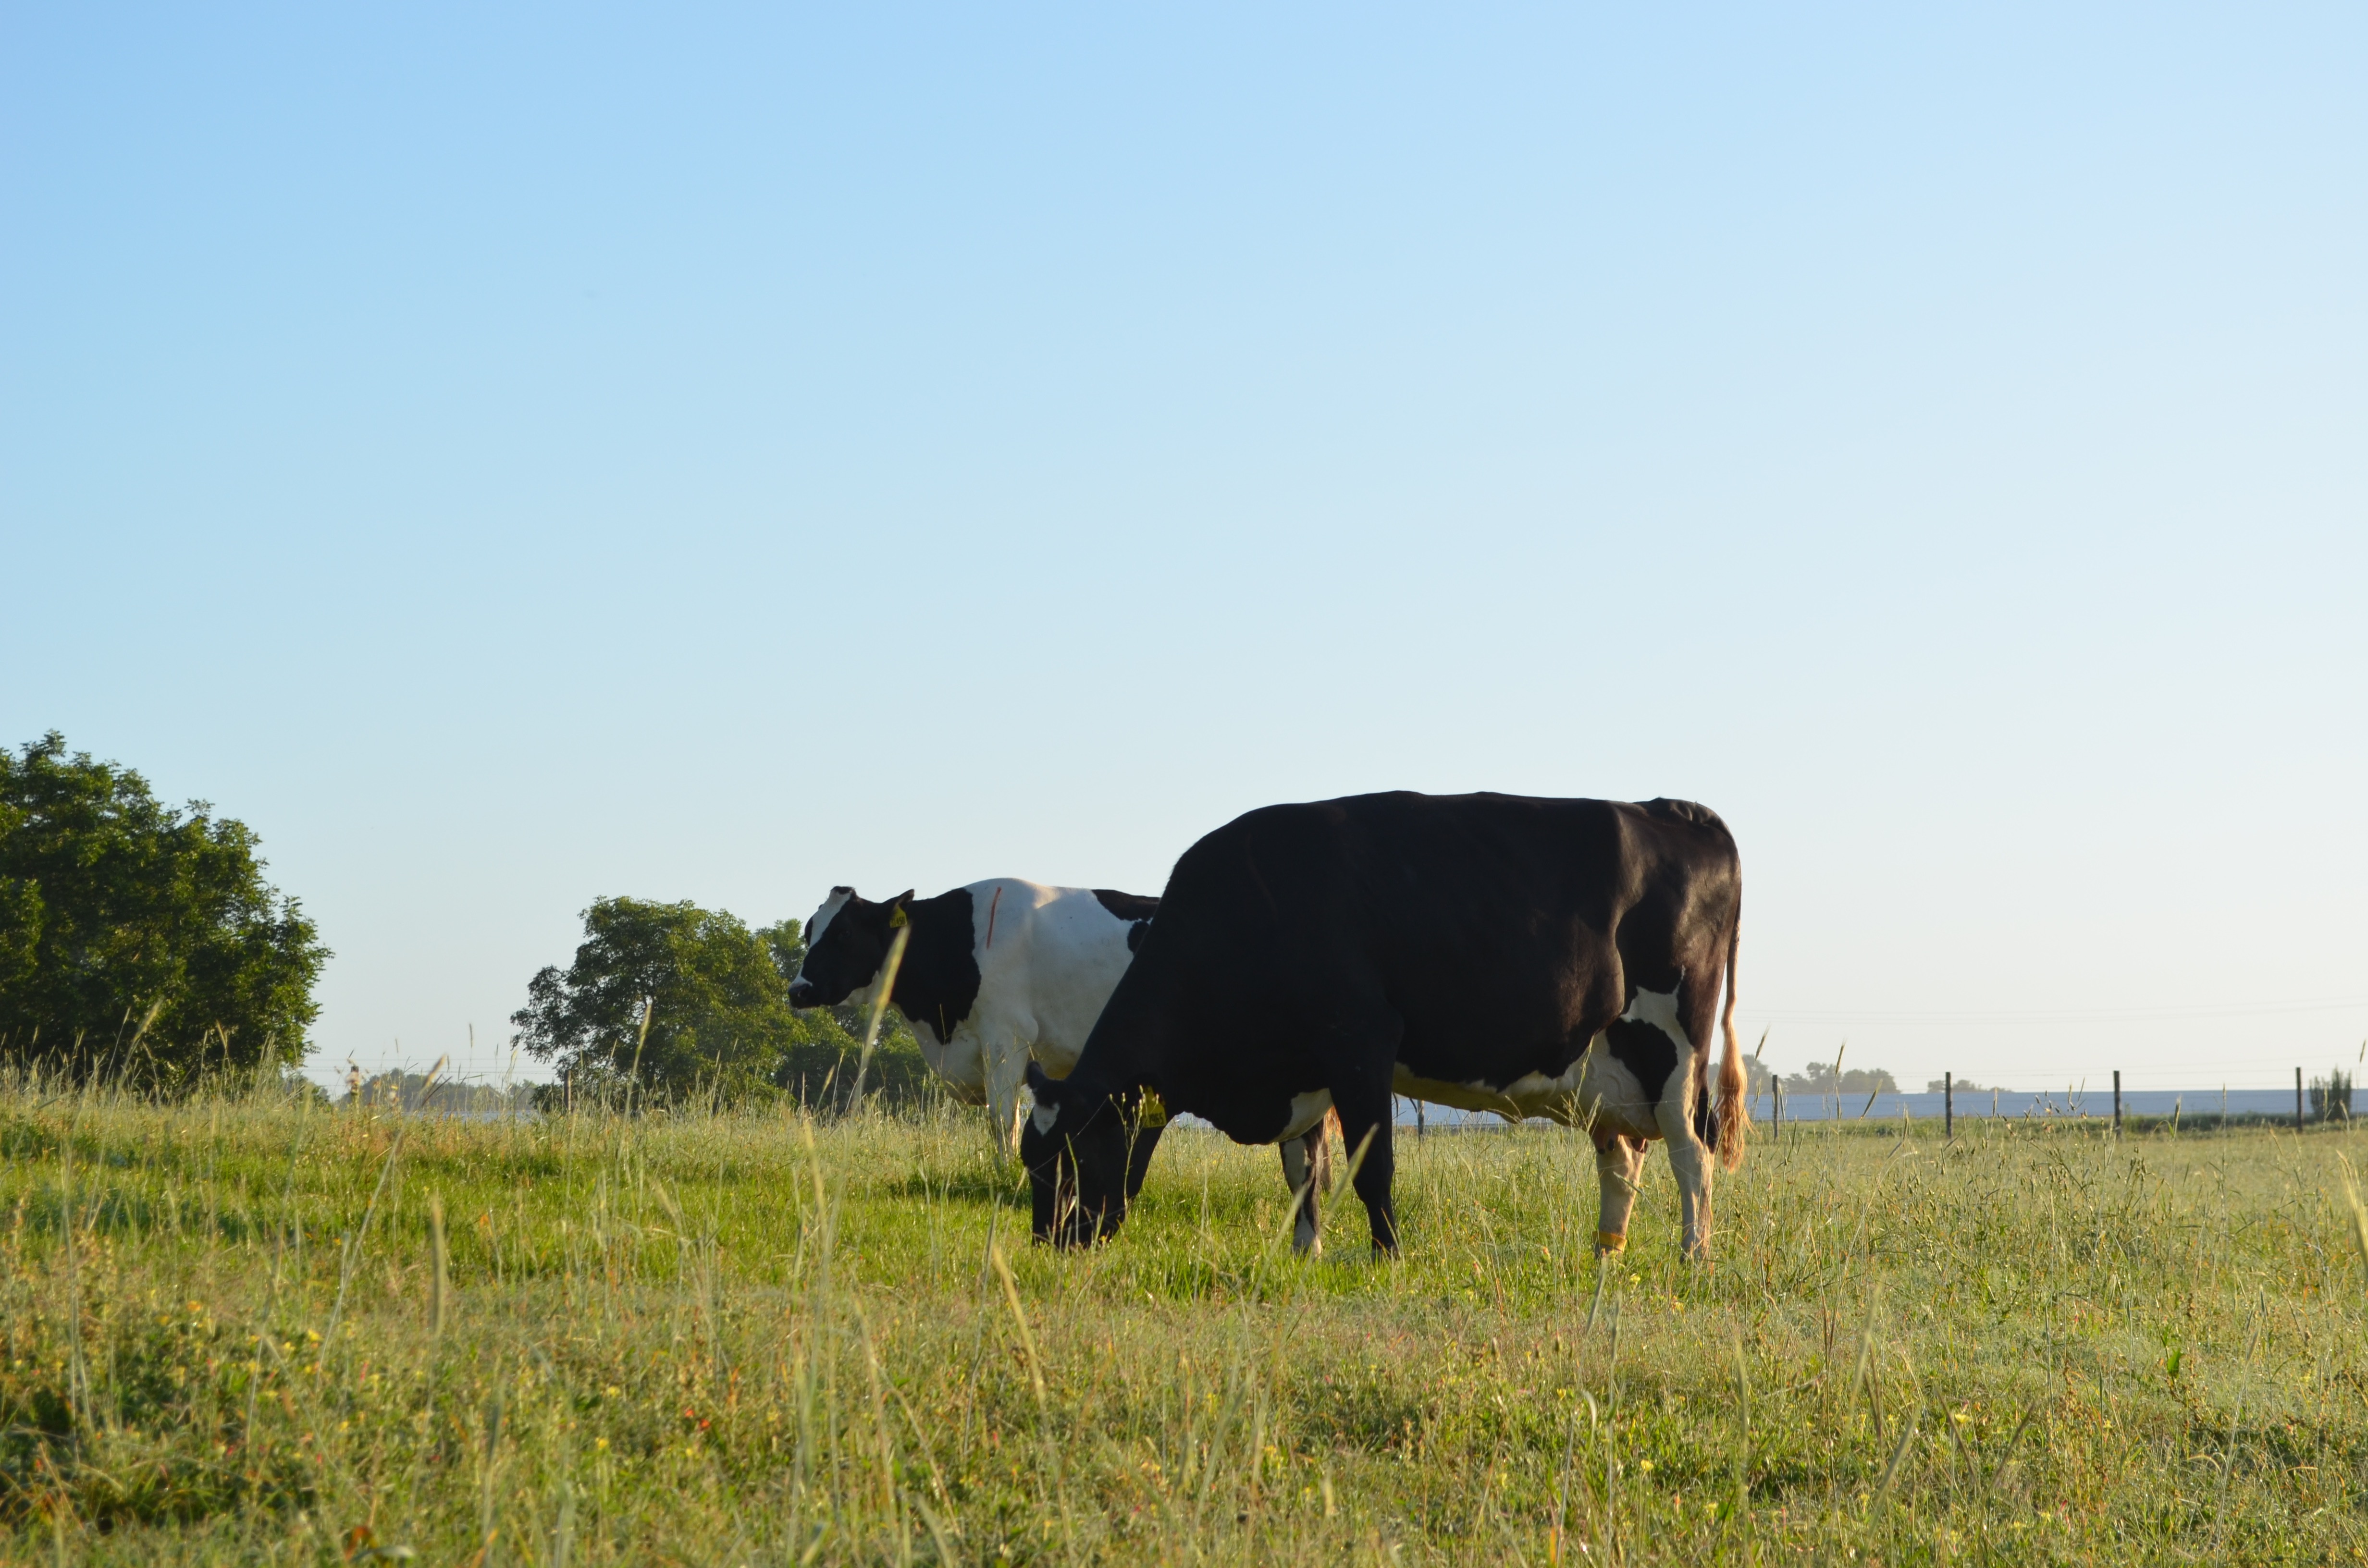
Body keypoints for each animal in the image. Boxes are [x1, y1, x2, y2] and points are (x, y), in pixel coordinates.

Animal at [1027, 800, 1752, 1269]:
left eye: (1074, 1153)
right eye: (1031, 1160)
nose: (1047, 1245)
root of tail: (1676, 811)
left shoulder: (1360, 1044)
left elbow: (1370, 1167)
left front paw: (1387, 1257)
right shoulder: (1304, 1069)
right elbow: (1303, 1174)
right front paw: (1307, 1255)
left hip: (1675, 1049)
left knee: (1692, 1154)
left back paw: (1693, 1255)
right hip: (1607, 1069)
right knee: (1623, 1160)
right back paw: (1606, 1255)